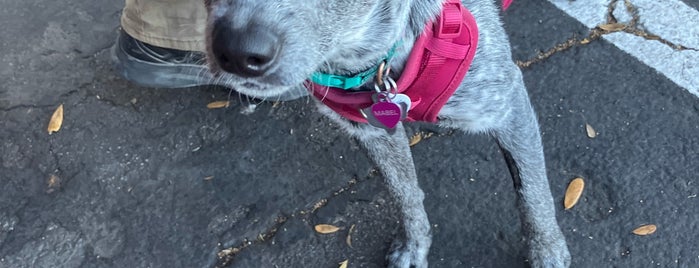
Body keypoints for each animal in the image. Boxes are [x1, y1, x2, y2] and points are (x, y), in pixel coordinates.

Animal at [201, 0, 568, 268]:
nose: (237, 52)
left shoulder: (507, 106)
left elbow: (532, 193)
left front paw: (547, 251)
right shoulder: (373, 130)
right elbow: (404, 193)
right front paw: (415, 247)